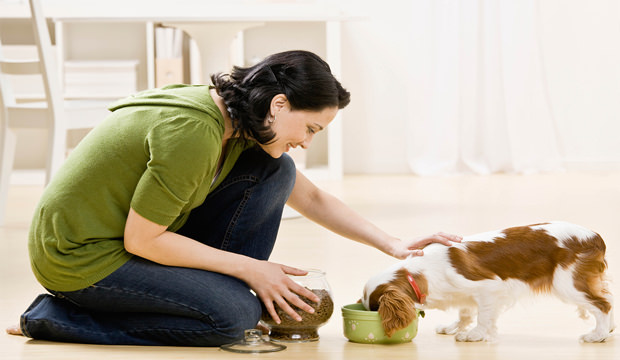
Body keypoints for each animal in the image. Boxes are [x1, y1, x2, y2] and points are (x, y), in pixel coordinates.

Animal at [364, 222, 616, 344]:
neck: (421, 272)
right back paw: (609, 329)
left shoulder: (489, 287)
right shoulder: (465, 294)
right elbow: (465, 312)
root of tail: (595, 236)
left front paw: (475, 335)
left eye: (375, 309)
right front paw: (454, 327)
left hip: (568, 284)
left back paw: (598, 335)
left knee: (603, 304)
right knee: (609, 298)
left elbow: (484, 316)